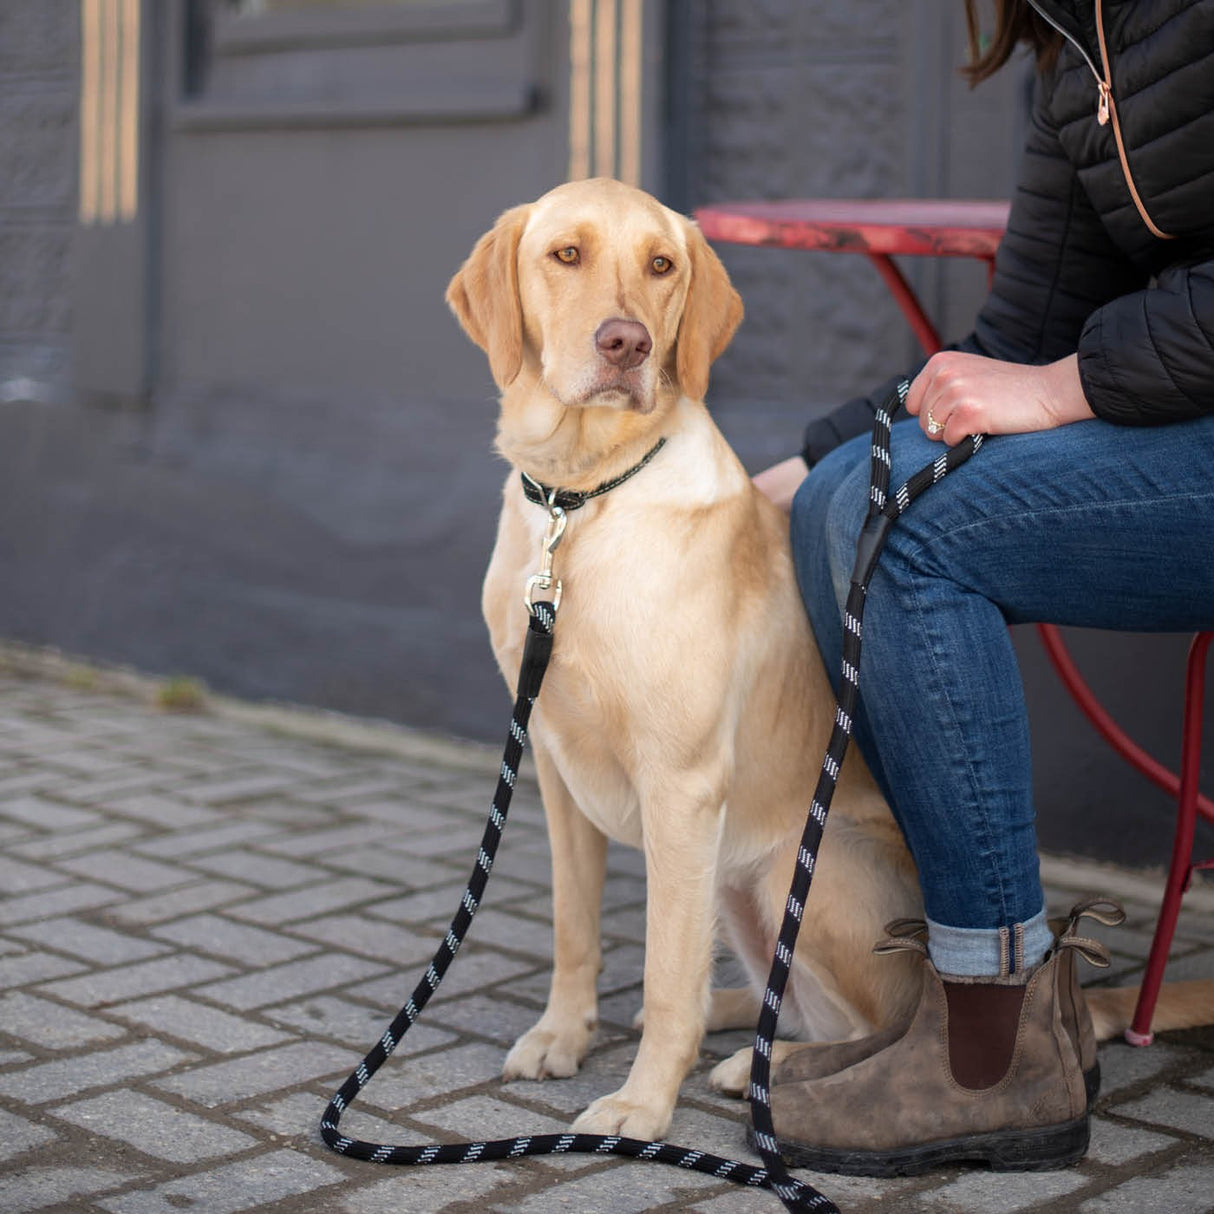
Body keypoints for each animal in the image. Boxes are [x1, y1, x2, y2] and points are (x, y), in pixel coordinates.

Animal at [444, 177, 1204, 1136]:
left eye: (660, 265)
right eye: (565, 255)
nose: (627, 344)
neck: (582, 500)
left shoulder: (682, 784)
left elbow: (665, 976)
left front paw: (644, 1105)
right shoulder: (549, 760)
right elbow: (575, 931)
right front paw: (562, 1034)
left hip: (790, 868)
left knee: (873, 1021)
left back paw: (767, 1067)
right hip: (732, 880)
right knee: (774, 994)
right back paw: (739, 1019)